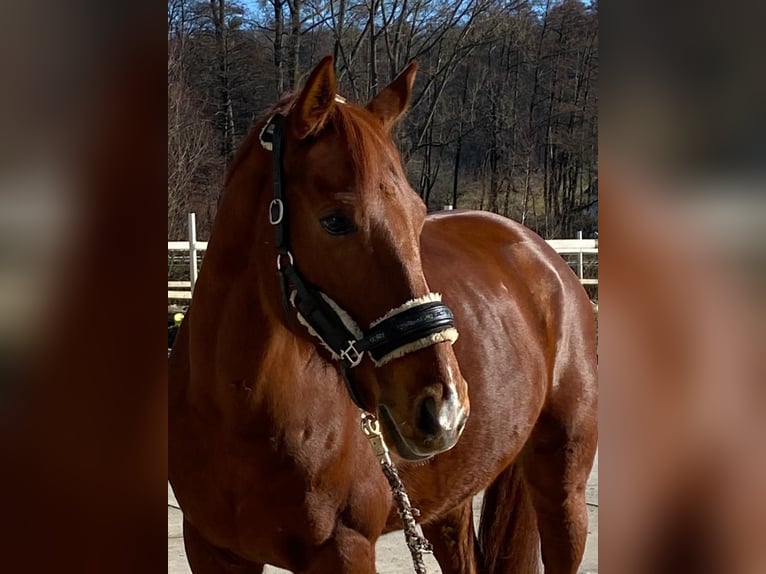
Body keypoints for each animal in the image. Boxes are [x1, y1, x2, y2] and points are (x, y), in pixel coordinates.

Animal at [168, 56, 598, 574]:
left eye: (417, 214)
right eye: (335, 221)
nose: (445, 407)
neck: (238, 412)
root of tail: (545, 256)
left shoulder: (346, 549)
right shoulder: (211, 550)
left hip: (562, 492)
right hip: (448, 501)